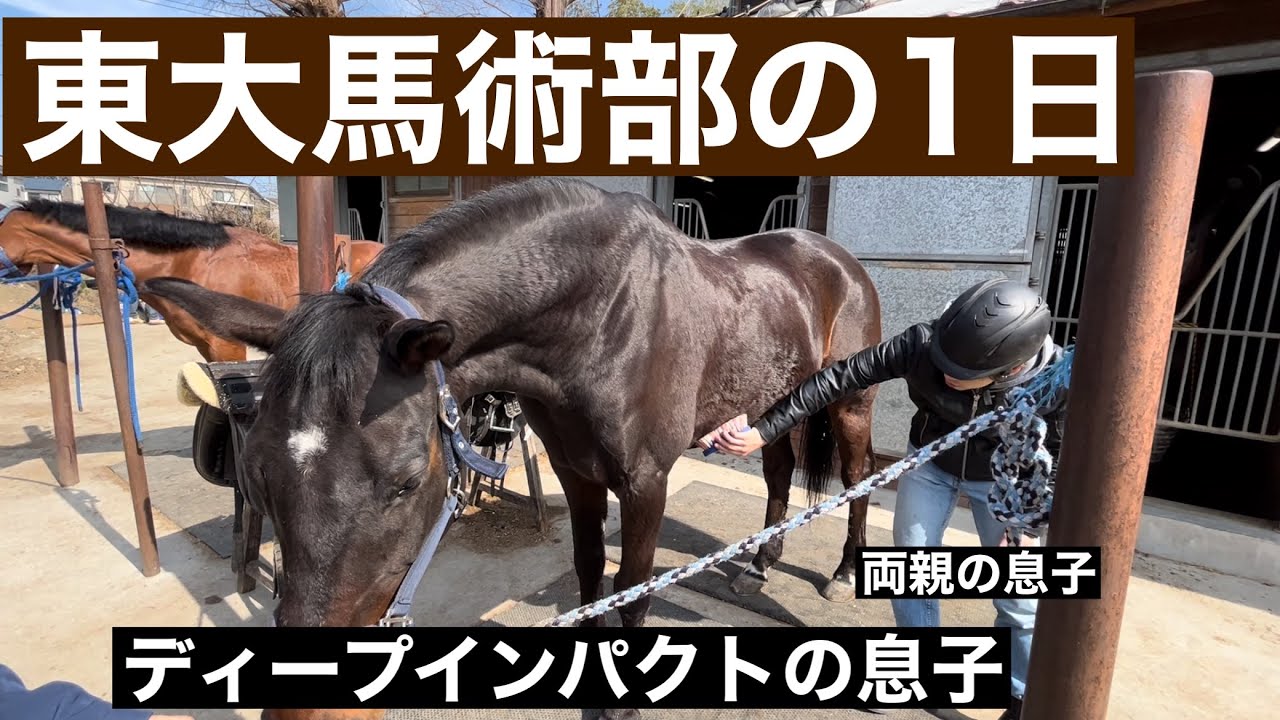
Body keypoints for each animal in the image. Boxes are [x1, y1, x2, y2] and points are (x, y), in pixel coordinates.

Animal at [139, 177, 882, 720]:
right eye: (258, 475)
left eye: (406, 482)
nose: (305, 714)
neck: (604, 314)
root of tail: (836, 257)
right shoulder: (577, 471)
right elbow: (589, 572)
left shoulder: (646, 480)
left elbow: (633, 590)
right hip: (771, 401)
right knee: (779, 472)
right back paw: (758, 564)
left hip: (851, 401)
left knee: (856, 477)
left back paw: (844, 571)